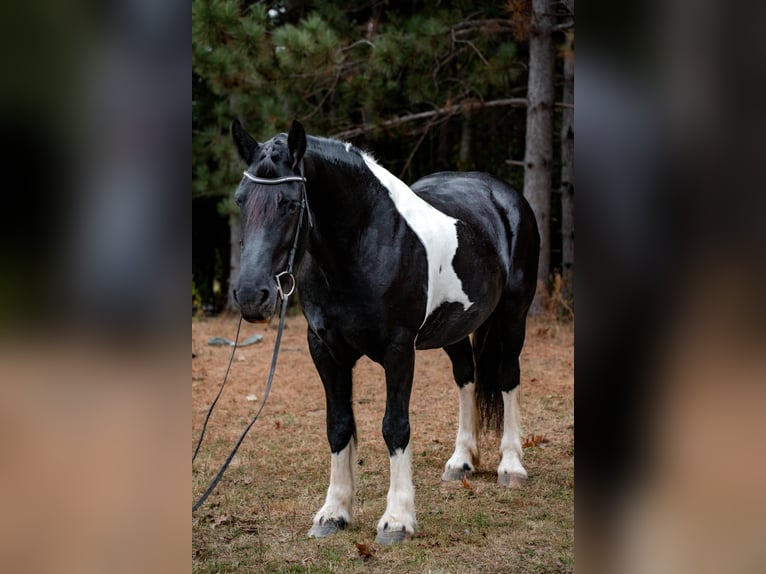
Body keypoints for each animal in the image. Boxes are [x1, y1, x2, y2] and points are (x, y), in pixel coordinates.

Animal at [232, 120, 540, 544]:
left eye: (290, 204)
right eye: (240, 201)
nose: (251, 296)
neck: (364, 242)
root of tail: (504, 196)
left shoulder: (398, 350)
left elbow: (395, 427)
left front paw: (397, 520)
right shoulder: (324, 349)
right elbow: (338, 425)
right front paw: (333, 513)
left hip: (513, 315)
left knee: (508, 377)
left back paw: (511, 466)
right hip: (456, 328)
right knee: (467, 378)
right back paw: (461, 461)